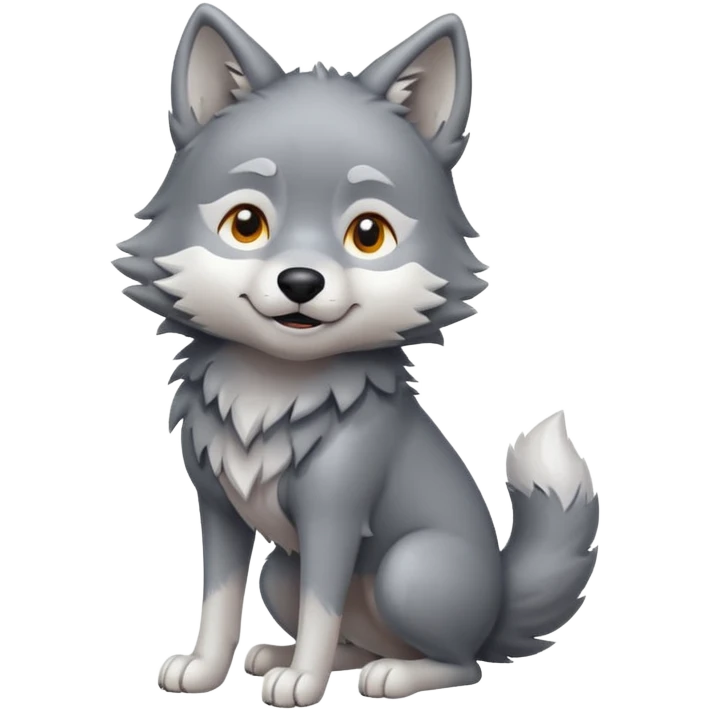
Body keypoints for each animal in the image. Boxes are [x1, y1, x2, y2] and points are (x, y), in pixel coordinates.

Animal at [115, 4, 600, 705]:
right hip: (281, 573)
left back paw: (389, 675)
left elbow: (322, 609)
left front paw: (303, 683)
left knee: (461, 664)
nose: (301, 282)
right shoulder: (219, 507)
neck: (273, 387)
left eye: (368, 234)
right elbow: (221, 601)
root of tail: (497, 608)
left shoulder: (334, 514)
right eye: (245, 224)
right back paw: (284, 655)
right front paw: (206, 670)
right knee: (354, 635)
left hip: (409, 569)